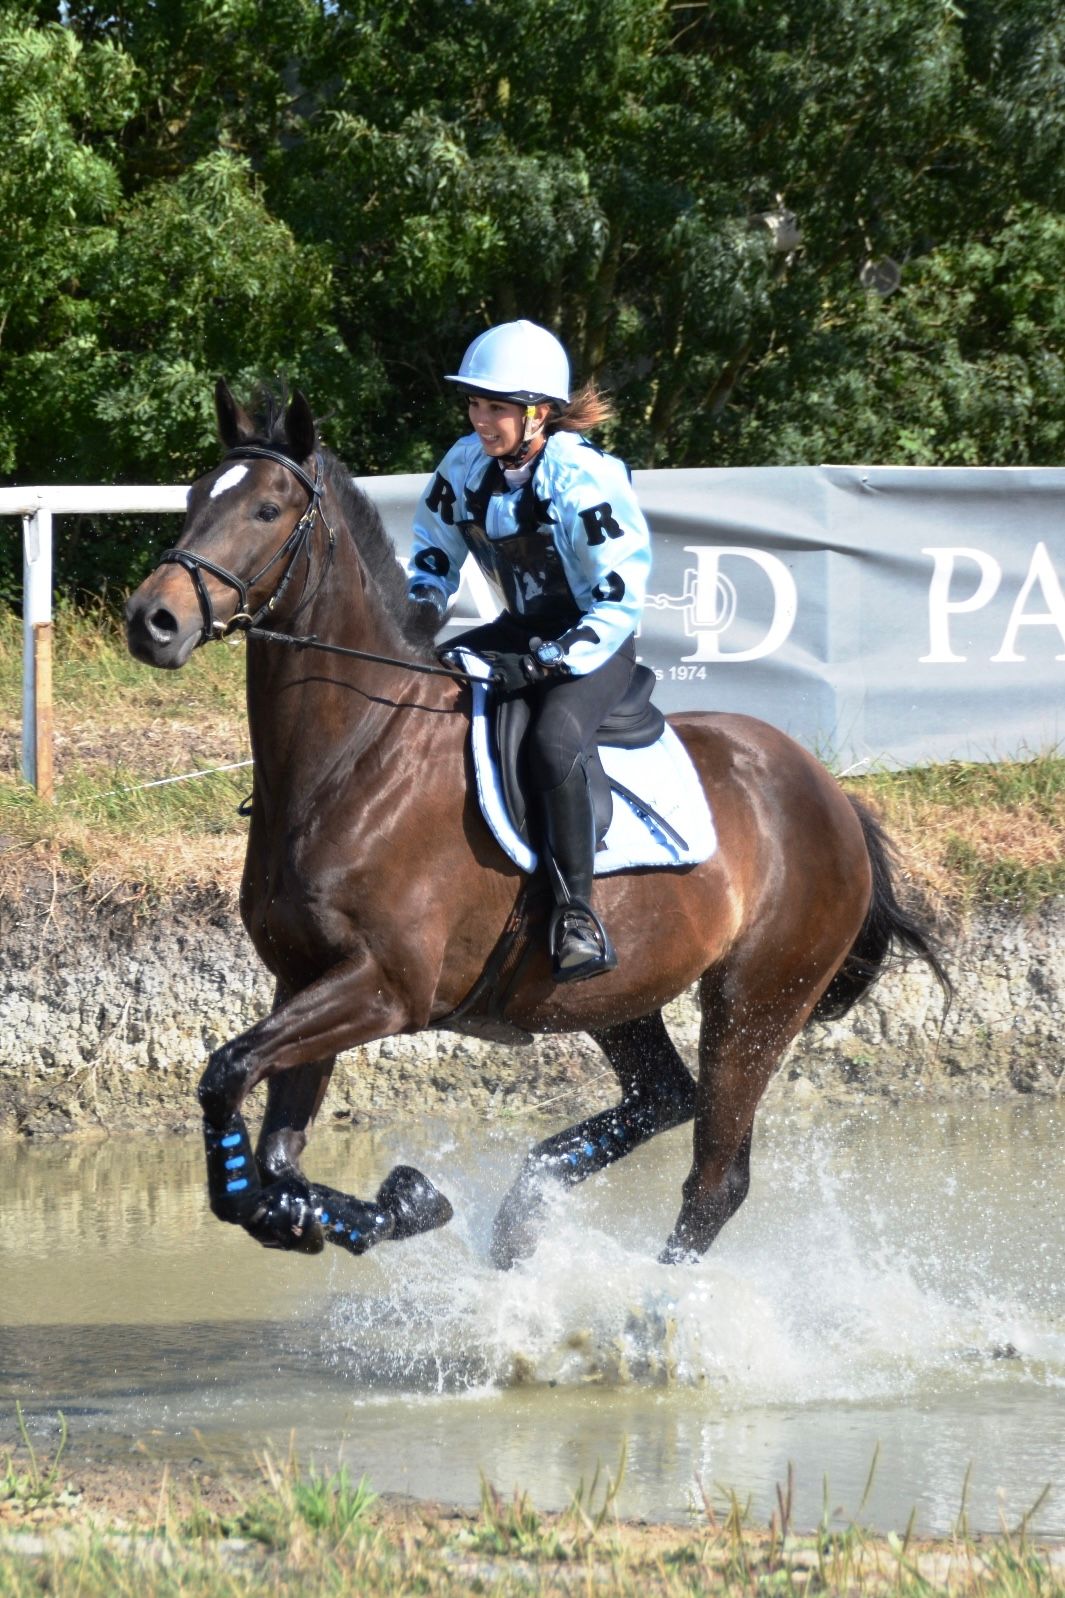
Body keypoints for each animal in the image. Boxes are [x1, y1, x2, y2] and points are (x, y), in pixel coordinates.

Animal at [125, 381, 948, 1268]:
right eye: (192, 499)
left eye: (268, 509)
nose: (152, 621)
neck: (356, 756)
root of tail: (831, 795)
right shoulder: (304, 977)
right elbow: (272, 1158)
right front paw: (370, 1209)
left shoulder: (384, 987)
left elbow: (225, 1073)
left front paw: (392, 1202)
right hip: (621, 992)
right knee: (662, 1098)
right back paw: (527, 1204)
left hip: (757, 1002)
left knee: (713, 1179)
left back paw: (648, 1293)